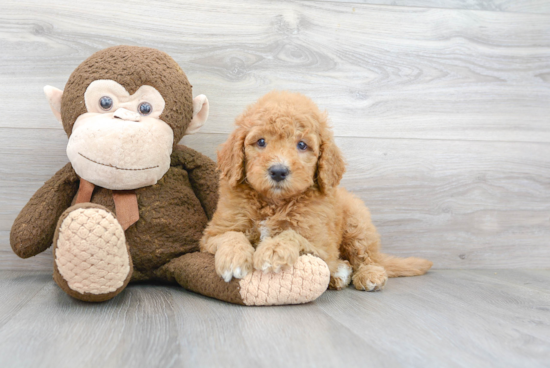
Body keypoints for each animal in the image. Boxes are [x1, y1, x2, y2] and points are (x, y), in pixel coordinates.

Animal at [201, 91, 434, 290]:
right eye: (261, 142)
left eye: (302, 145)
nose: (278, 171)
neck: (274, 202)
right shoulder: (213, 234)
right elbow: (230, 234)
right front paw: (233, 258)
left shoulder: (322, 244)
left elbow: (292, 234)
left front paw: (273, 250)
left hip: (357, 225)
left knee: (367, 256)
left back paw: (368, 275)